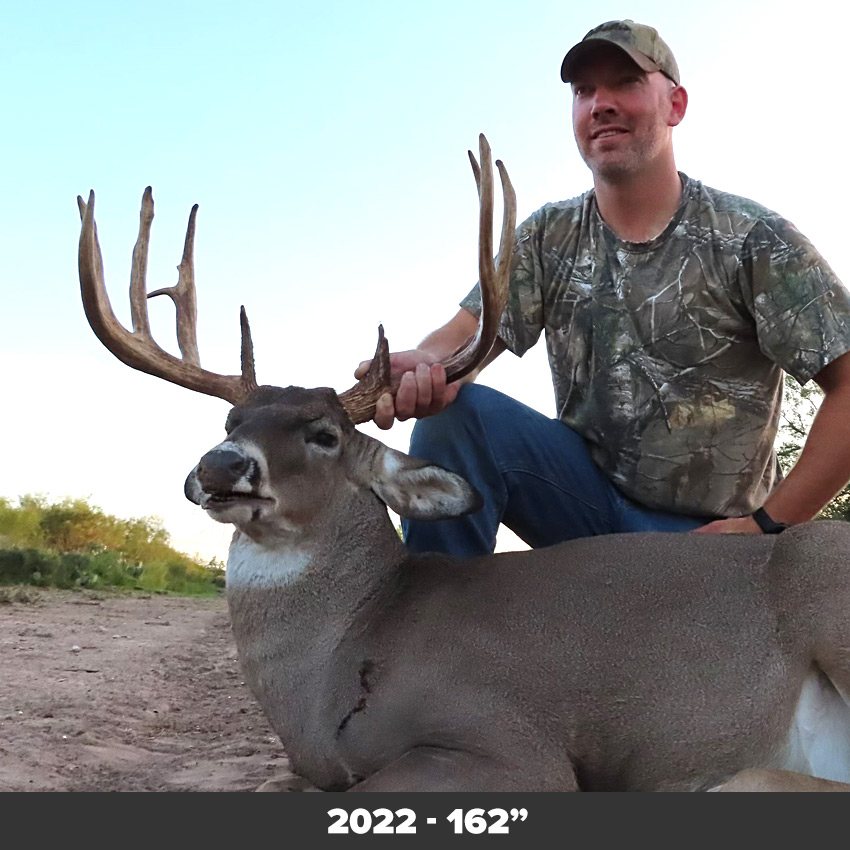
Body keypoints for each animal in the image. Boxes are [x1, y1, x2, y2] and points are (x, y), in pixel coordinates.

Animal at [76, 135, 850, 792]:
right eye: (231, 422)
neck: (342, 658)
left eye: (323, 434)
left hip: (826, 587)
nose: (219, 468)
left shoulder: (510, 741)